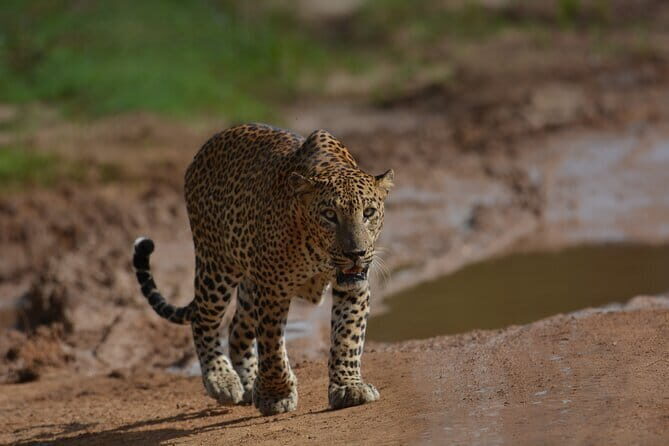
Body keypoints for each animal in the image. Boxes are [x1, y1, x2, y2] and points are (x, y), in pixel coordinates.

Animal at [132, 123, 394, 416]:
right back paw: (221, 380)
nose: (355, 253)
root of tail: (206, 147)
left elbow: (347, 337)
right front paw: (275, 396)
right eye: (329, 215)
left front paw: (349, 387)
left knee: (236, 329)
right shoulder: (273, 290)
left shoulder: (353, 287)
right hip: (217, 265)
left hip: (248, 283)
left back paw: (247, 383)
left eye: (369, 212)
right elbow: (272, 347)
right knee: (203, 319)